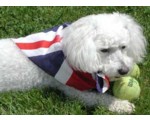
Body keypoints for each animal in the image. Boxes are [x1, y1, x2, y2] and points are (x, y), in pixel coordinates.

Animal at [0, 12, 147, 114]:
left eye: (123, 47)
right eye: (104, 50)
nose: (124, 70)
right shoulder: (73, 90)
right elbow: (99, 98)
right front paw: (121, 105)